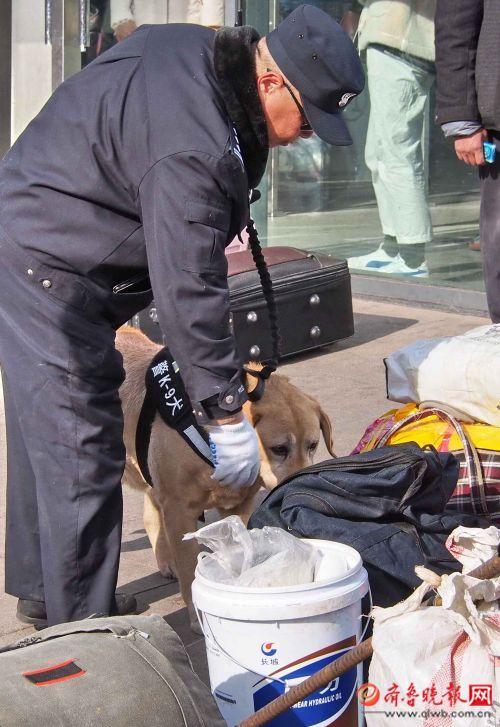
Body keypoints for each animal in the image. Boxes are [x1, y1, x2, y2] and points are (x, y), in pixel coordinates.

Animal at [117, 330, 336, 632]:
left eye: (313, 445)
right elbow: (189, 568)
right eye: (279, 449)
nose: (297, 483)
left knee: (150, 515)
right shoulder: (178, 509)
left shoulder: (237, 507)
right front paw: (196, 612)